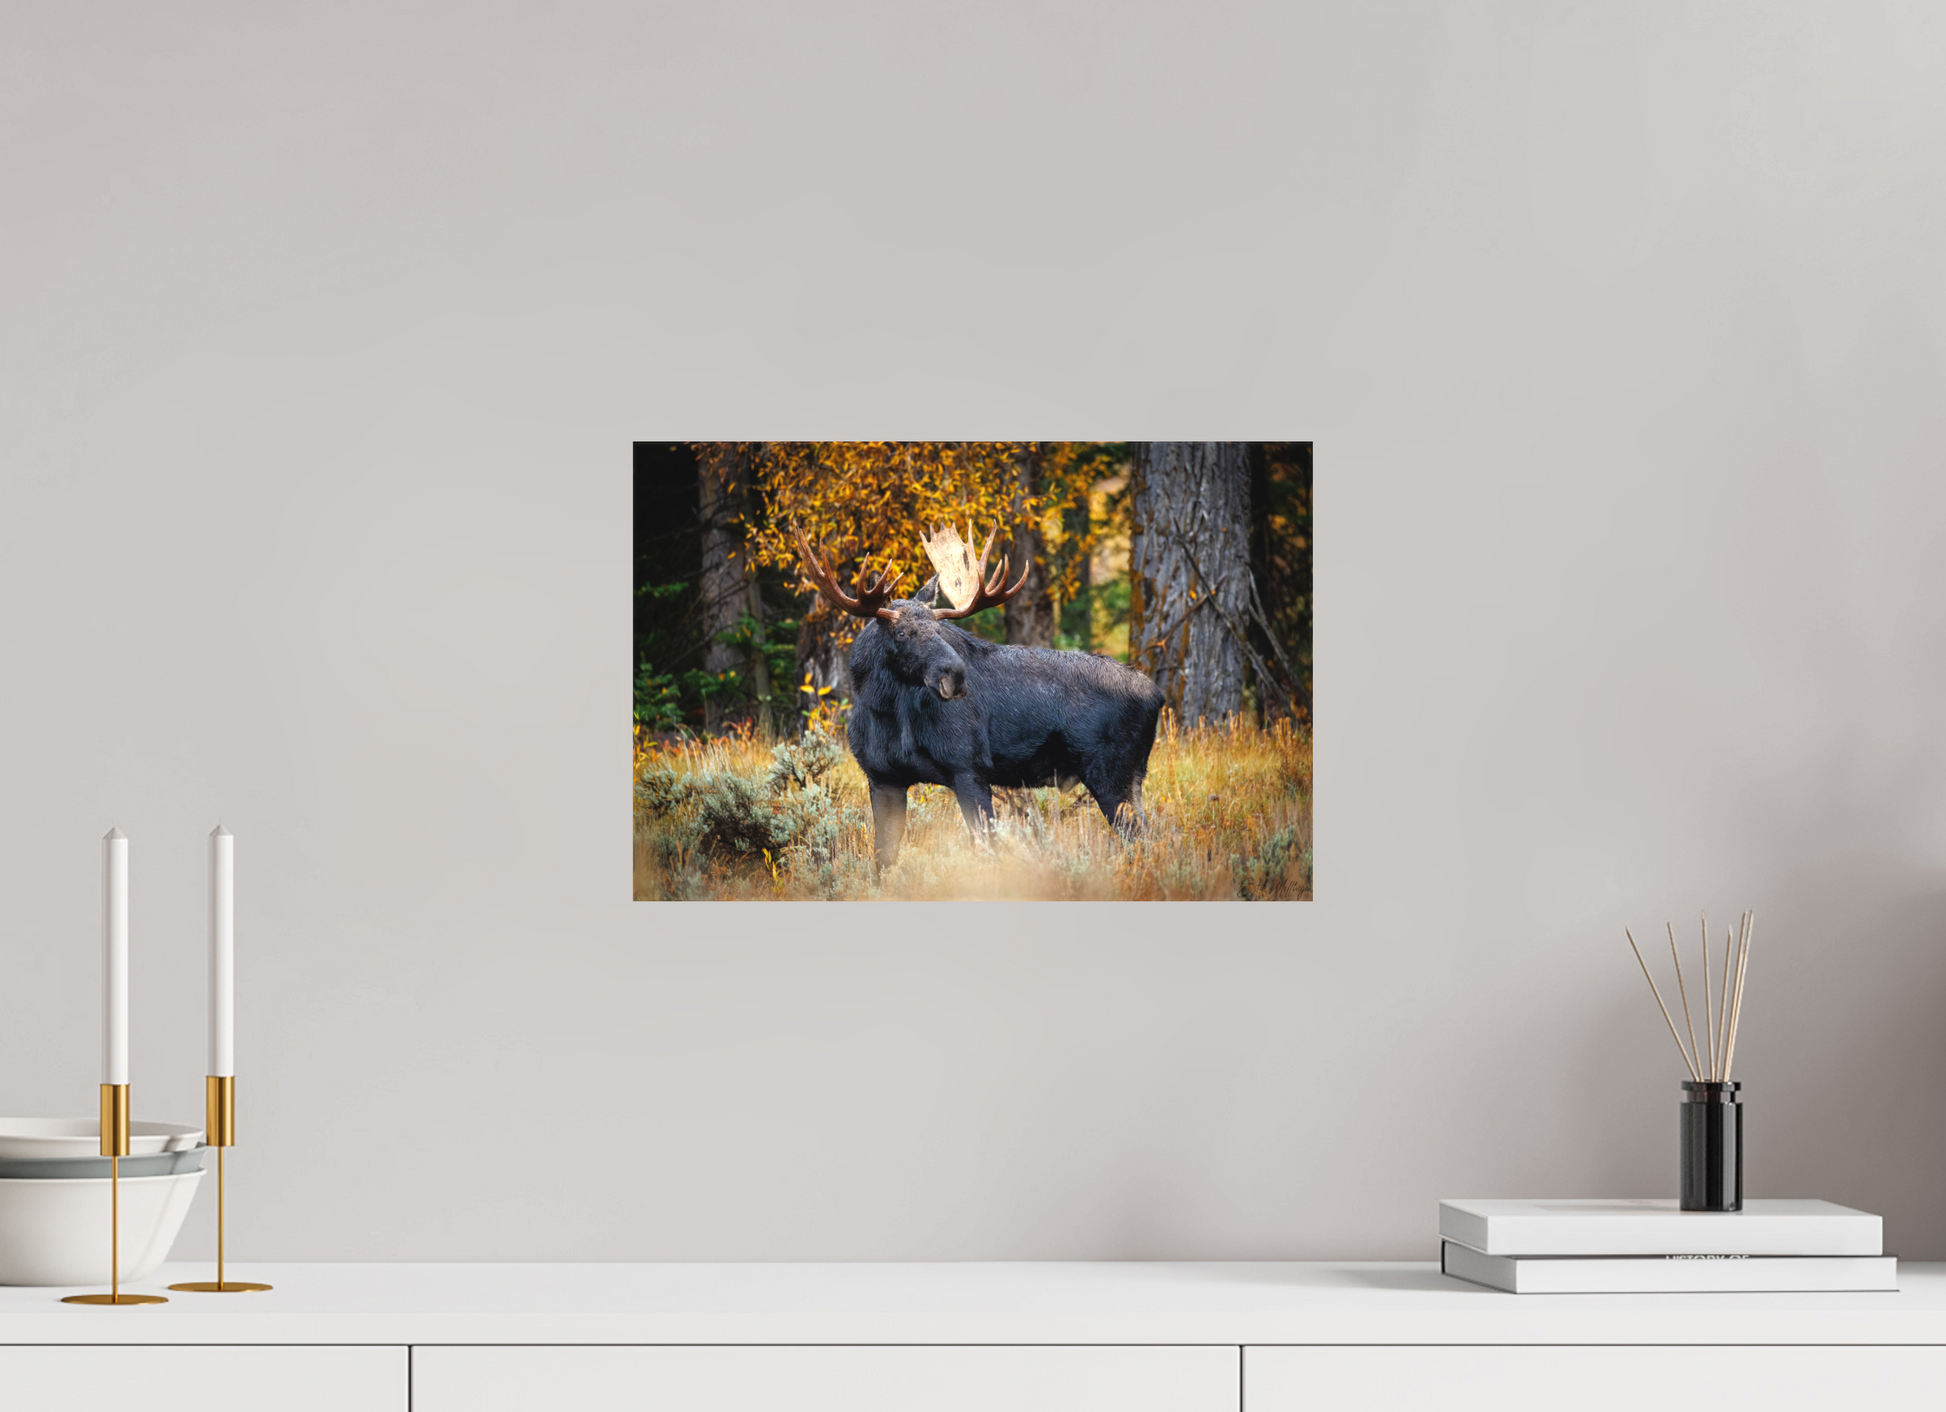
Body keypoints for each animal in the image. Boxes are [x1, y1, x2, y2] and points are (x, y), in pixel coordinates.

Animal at [793, 524, 1166, 868]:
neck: (885, 712)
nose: (956, 675)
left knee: (1140, 839)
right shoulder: (882, 777)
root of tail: (1158, 696)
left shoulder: (968, 767)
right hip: (1132, 776)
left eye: (938, 629)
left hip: (1111, 773)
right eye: (901, 633)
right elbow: (883, 857)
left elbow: (987, 848)